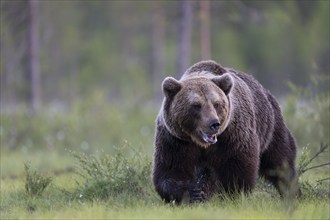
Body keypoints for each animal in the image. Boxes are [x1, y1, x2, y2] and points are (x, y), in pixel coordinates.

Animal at [152, 60, 300, 205]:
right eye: (196, 105)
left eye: (216, 104)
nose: (214, 124)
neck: (201, 144)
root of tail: (267, 92)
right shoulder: (175, 140)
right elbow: (171, 170)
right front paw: (190, 194)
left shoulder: (232, 137)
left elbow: (237, 168)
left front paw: (233, 194)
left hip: (270, 128)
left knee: (280, 162)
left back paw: (292, 192)